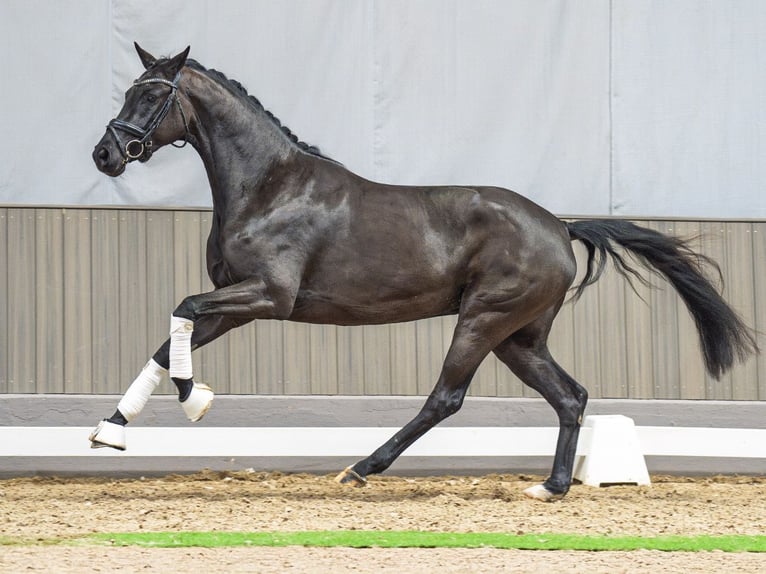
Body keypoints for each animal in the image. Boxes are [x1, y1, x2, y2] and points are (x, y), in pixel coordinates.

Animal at [91, 45, 760, 502]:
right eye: (128, 90)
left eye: (151, 96)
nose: (105, 155)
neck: (267, 187)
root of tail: (559, 227)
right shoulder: (236, 300)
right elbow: (169, 339)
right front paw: (110, 430)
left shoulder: (267, 297)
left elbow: (181, 311)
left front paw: (196, 401)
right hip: (519, 337)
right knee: (570, 396)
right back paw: (550, 487)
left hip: (483, 319)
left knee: (446, 397)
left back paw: (360, 469)